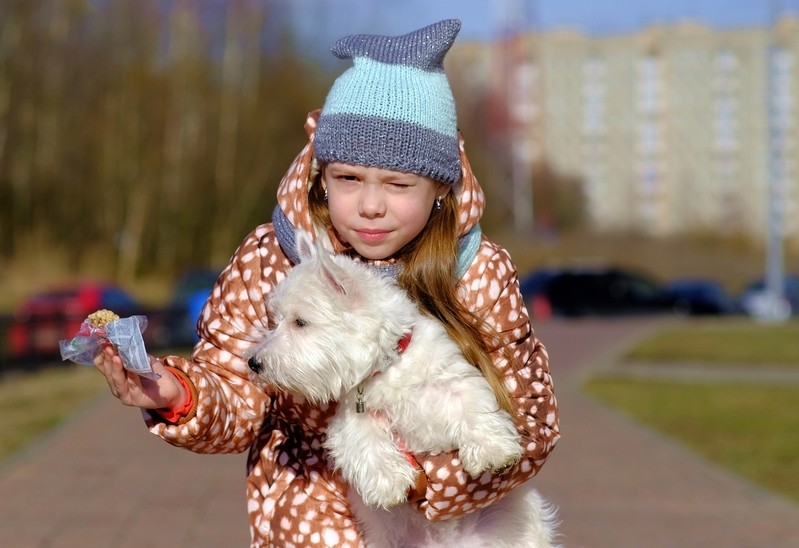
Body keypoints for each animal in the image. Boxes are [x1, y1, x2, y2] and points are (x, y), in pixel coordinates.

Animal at [247, 231, 560, 548]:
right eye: (277, 321)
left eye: (300, 322)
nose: (254, 362)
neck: (388, 366)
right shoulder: (354, 416)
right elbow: (365, 444)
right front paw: (390, 485)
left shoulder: (453, 380)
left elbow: (474, 408)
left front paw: (492, 452)